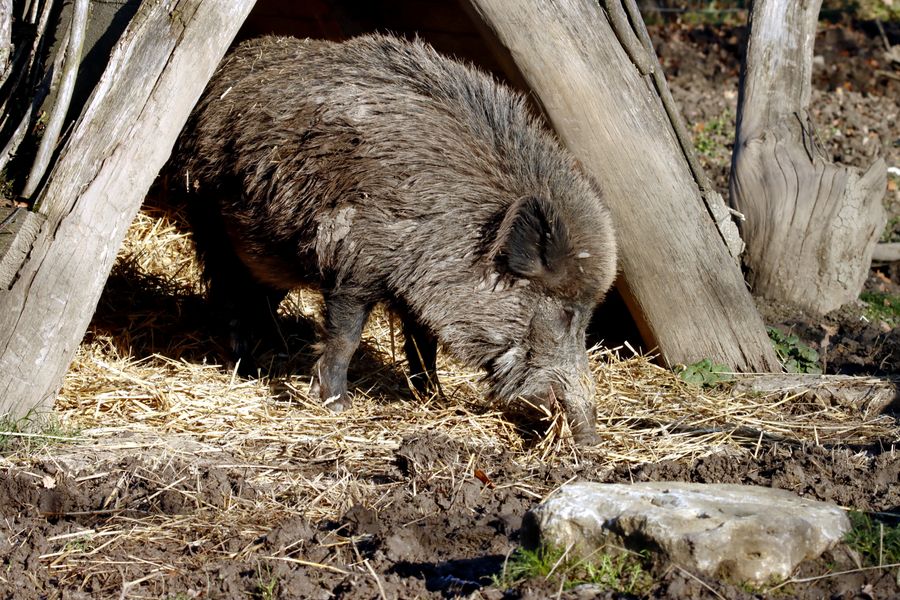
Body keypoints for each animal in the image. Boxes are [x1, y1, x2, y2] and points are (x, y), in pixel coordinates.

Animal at [170, 34, 617, 443]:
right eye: (567, 313)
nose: (591, 438)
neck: (455, 230)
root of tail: (226, 68)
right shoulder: (352, 263)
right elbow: (346, 337)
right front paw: (337, 406)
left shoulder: (414, 293)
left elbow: (423, 345)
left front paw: (434, 397)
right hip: (209, 215)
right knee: (227, 291)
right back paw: (246, 367)